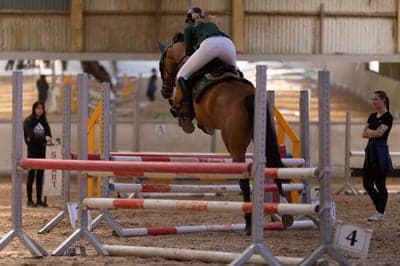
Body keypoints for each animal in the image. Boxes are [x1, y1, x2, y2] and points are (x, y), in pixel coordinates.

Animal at [158, 33, 290, 235]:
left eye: (161, 63)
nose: (164, 91)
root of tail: (248, 95)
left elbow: (178, 107)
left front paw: (184, 119)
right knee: (273, 166)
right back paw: (284, 211)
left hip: (234, 146)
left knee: (243, 181)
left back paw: (249, 223)